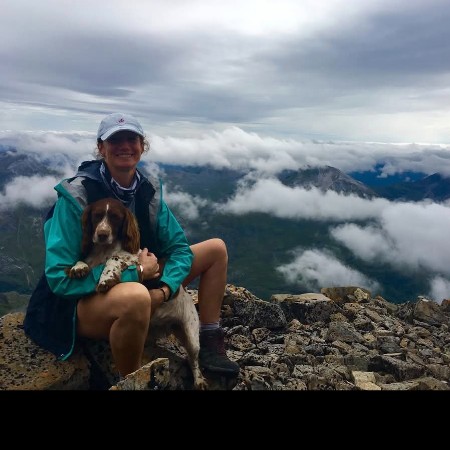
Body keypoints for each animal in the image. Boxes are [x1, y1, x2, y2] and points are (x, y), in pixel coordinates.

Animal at [66, 197, 207, 390]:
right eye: (96, 216)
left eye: (115, 217)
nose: (102, 234)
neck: (103, 250)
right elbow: (83, 262)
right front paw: (78, 267)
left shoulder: (132, 256)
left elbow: (115, 258)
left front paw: (106, 279)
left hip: (191, 332)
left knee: (194, 360)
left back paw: (199, 381)